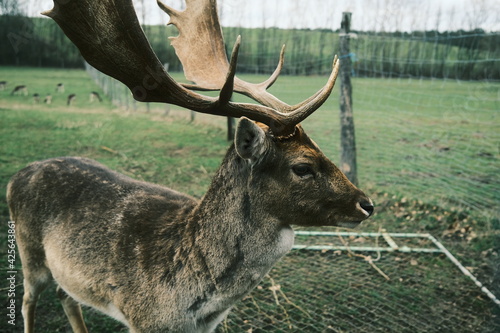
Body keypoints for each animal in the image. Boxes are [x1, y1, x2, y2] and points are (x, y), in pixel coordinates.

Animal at [8, 0, 376, 332]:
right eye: (302, 166)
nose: (367, 204)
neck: (192, 306)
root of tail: (16, 177)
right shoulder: (143, 319)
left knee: (66, 295)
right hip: (29, 253)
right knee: (27, 300)